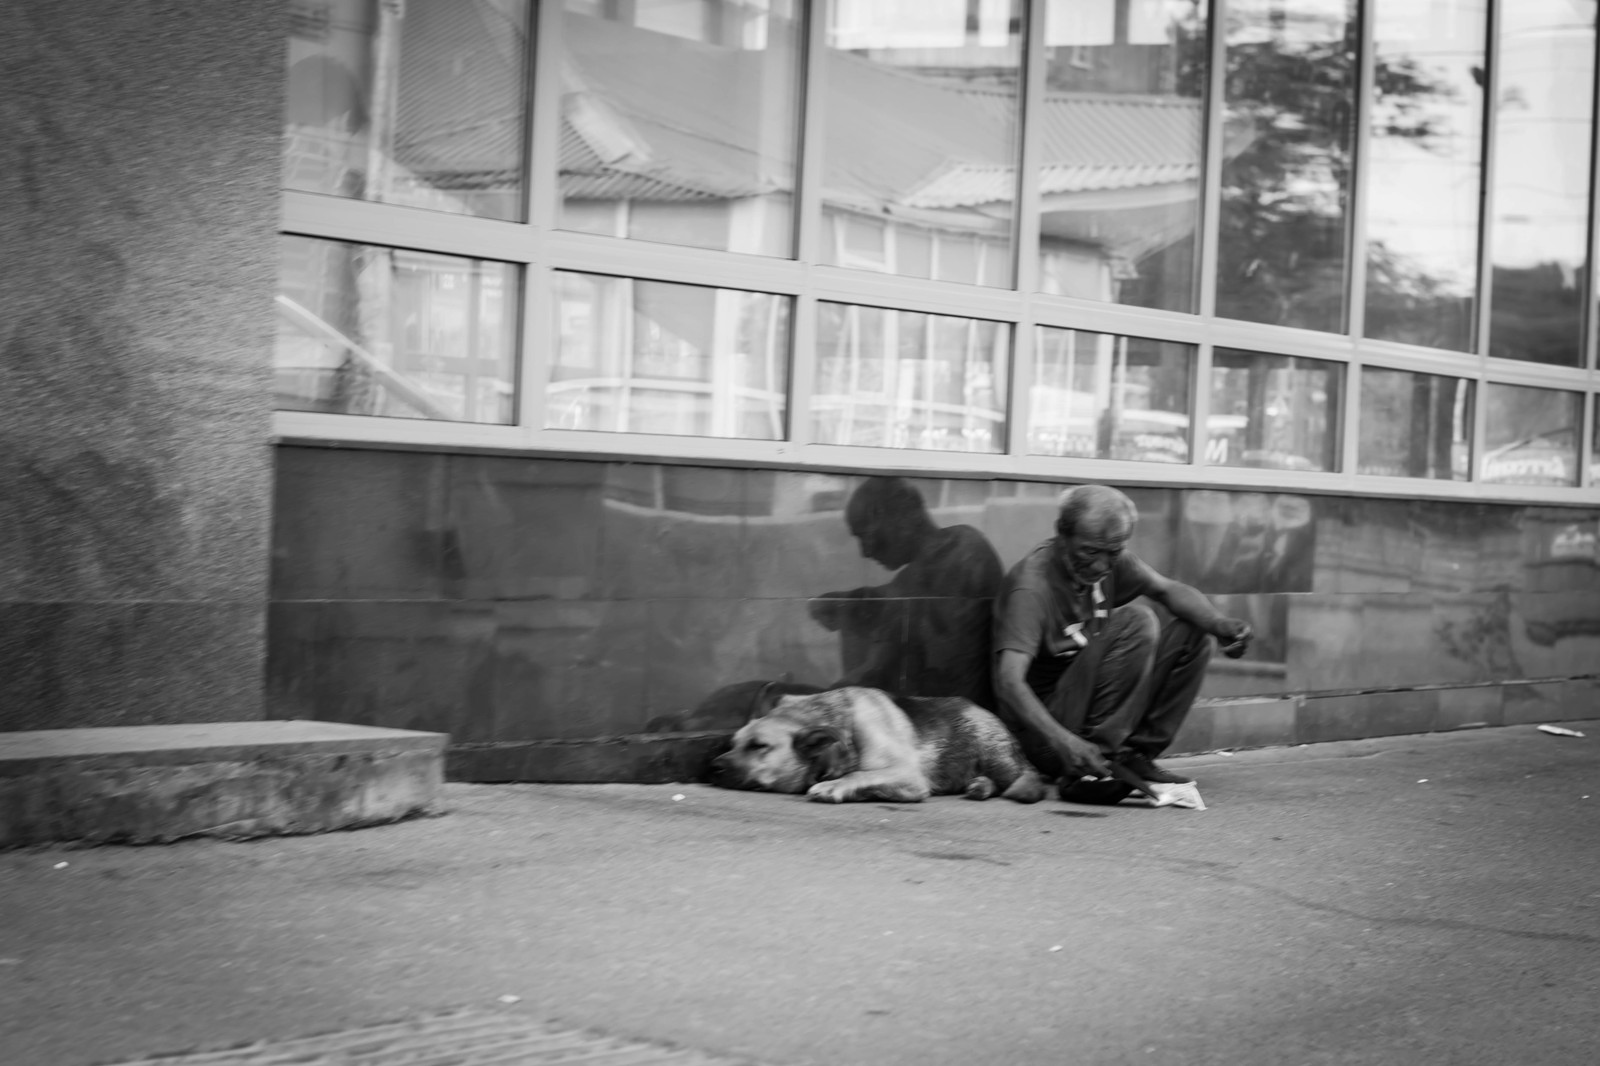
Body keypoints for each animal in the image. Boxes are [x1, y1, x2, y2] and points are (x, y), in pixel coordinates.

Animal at [707, 685, 1043, 800]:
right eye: (733, 743)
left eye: (759, 746)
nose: (714, 767)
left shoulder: (908, 776)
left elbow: (859, 774)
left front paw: (836, 786)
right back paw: (980, 786)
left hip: (994, 752)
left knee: (1029, 779)